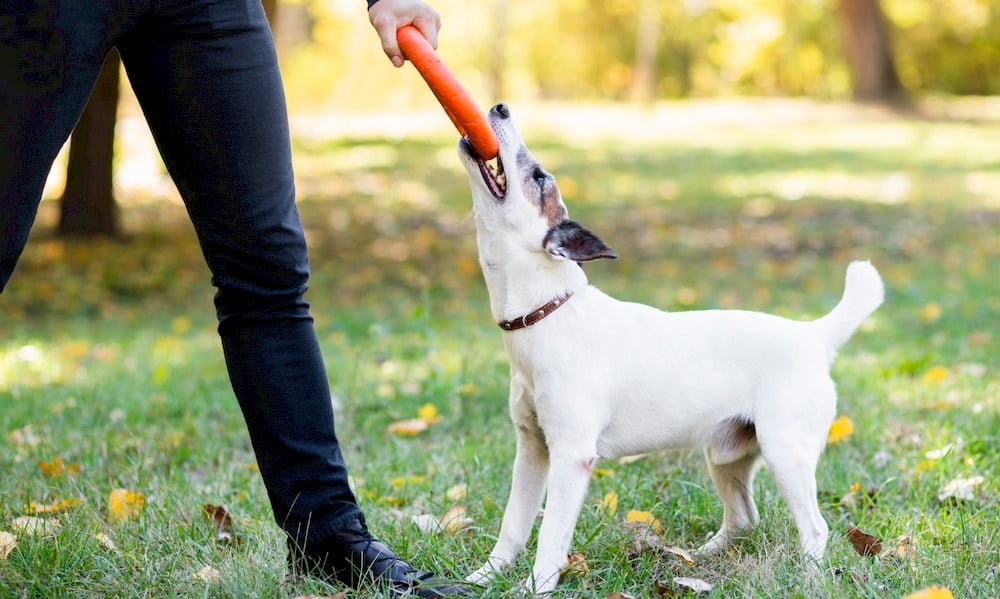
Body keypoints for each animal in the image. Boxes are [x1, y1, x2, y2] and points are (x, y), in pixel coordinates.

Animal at [458, 102, 880, 592]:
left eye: (539, 176)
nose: (500, 107)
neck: (550, 313)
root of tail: (813, 336)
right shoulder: (532, 450)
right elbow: (514, 524)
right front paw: (484, 577)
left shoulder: (570, 455)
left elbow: (549, 536)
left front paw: (536, 587)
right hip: (726, 455)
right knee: (744, 518)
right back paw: (700, 557)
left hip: (785, 453)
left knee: (814, 527)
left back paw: (808, 579)